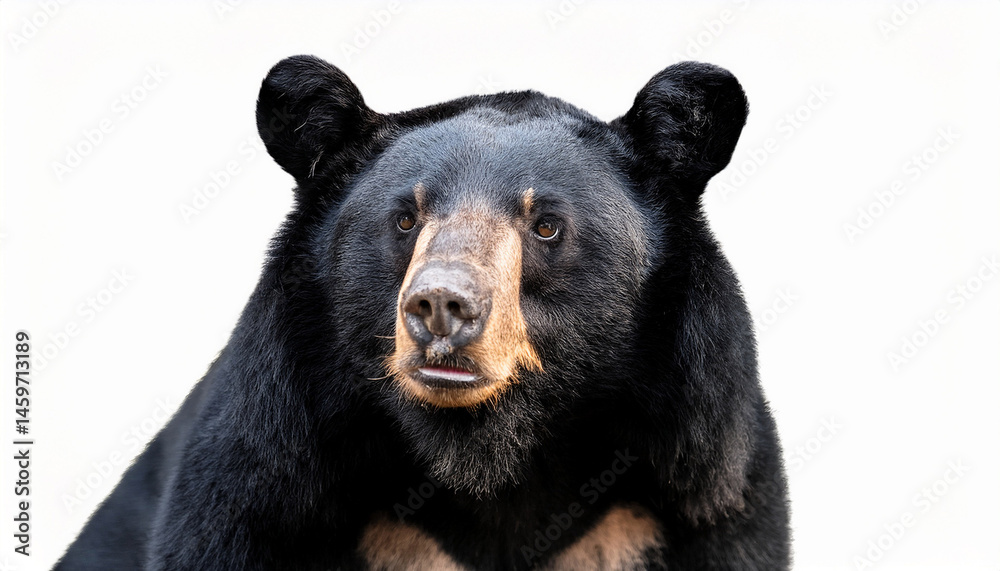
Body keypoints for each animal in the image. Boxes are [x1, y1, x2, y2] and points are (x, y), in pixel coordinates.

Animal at [55, 55, 790, 570]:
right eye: (406, 218)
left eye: (546, 225)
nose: (441, 306)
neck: (486, 455)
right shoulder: (266, 474)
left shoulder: (697, 489)